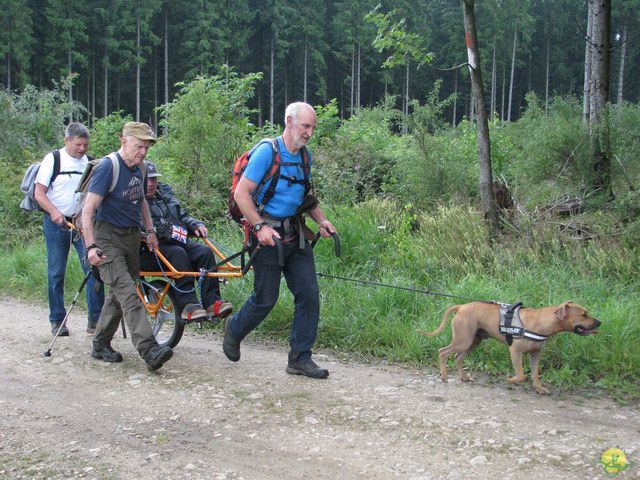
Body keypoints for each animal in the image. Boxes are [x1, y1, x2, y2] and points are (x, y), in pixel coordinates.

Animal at [420, 302, 600, 396]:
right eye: (583, 314)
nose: (599, 322)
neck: (541, 322)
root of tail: (461, 306)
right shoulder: (515, 351)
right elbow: (521, 375)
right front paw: (510, 379)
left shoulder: (535, 354)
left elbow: (534, 373)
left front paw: (539, 388)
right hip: (463, 340)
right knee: (443, 352)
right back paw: (444, 376)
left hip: (473, 341)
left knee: (458, 357)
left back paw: (464, 377)